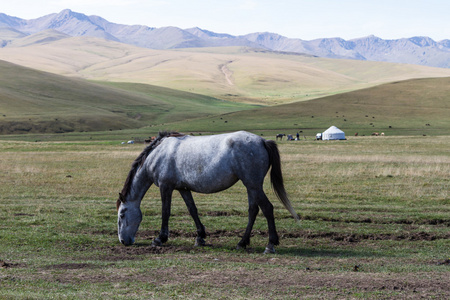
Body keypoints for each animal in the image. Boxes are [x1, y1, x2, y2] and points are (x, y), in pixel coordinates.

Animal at [117, 131, 298, 253]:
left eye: (122, 214)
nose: (123, 241)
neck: (157, 154)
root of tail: (262, 141)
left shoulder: (165, 186)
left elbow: (165, 212)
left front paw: (160, 239)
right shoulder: (183, 188)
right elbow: (192, 210)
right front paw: (200, 237)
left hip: (253, 185)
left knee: (267, 208)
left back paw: (270, 245)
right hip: (251, 186)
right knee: (253, 210)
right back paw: (242, 242)